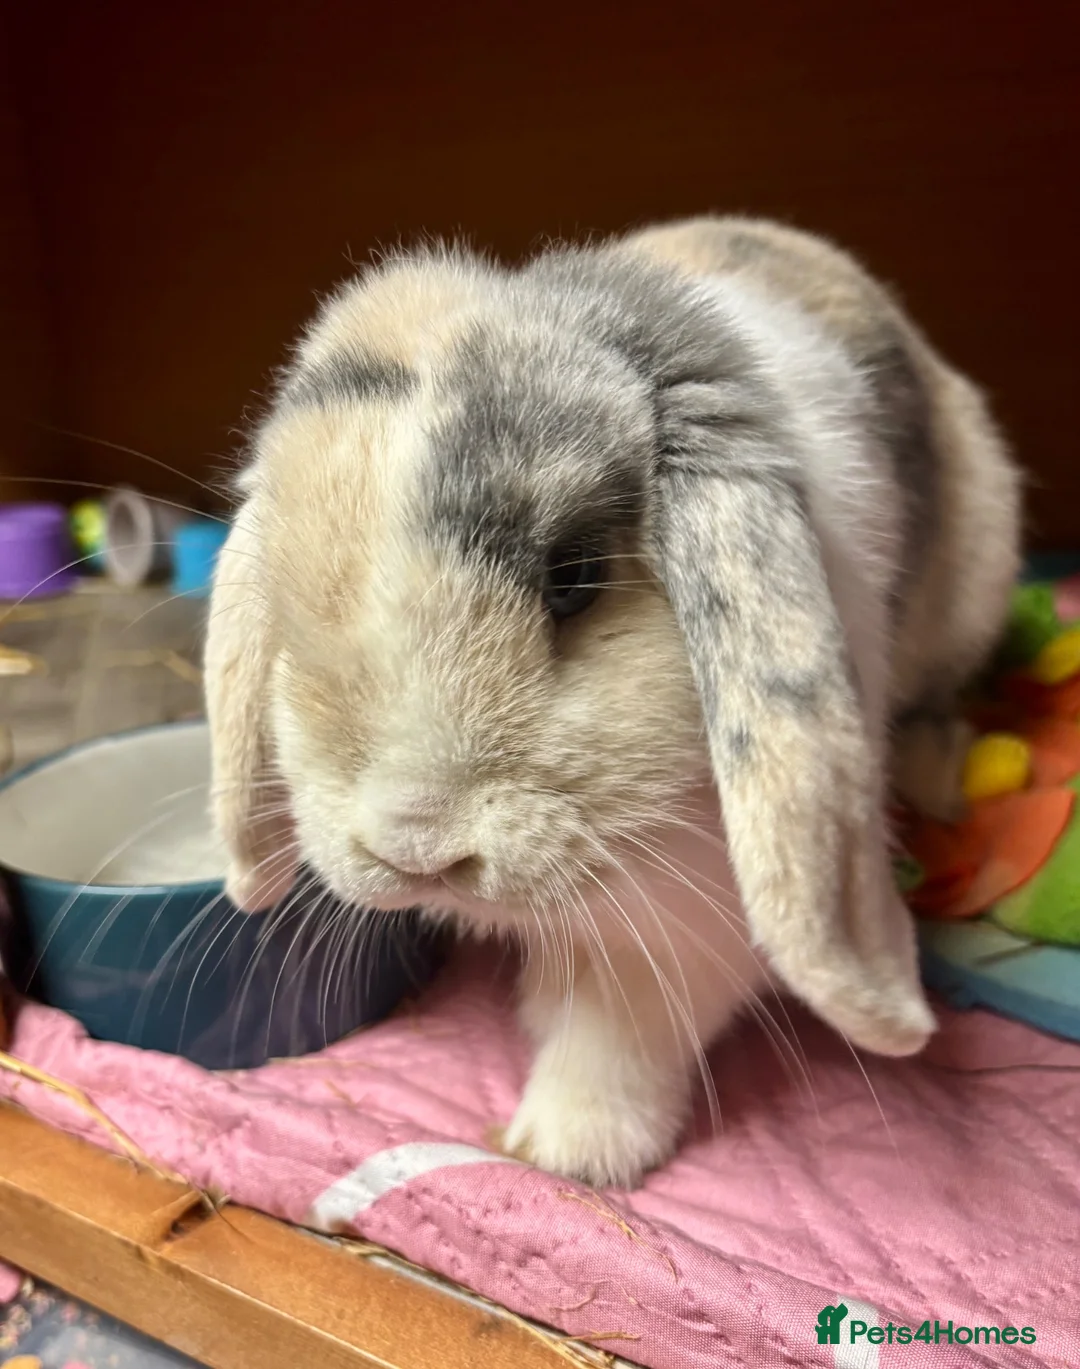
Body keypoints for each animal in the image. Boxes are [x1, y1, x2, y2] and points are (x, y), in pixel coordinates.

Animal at [204, 215, 1022, 1188]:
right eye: (289, 610)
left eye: (575, 575)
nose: (417, 849)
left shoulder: (701, 914)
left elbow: (619, 1027)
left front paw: (567, 1152)